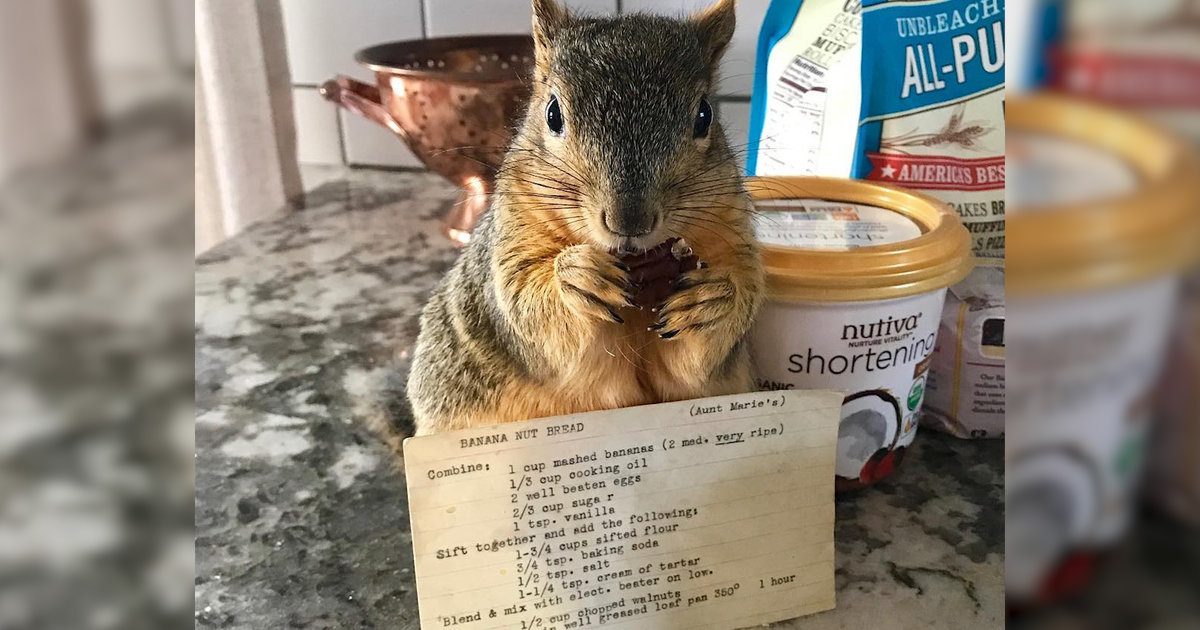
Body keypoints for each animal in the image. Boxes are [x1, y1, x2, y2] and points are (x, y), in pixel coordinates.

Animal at [407, 0, 763, 435]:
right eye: (552, 113)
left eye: (704, 115)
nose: (630, 221)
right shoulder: (511, 241)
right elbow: (525, 301)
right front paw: (577, 277)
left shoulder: (731, 234)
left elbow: (702, 355)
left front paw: (714, 298)